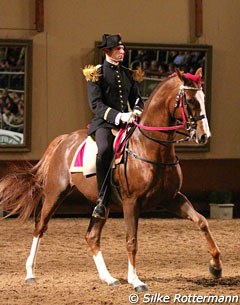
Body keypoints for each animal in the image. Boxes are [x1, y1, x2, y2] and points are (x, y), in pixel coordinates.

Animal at [0, 68, 222, 290]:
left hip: (102, 204)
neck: (150, 148)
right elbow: (131, 240)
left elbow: (202, 221)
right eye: (190, 100)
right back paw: (30, 273)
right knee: (40, 227)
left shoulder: (172, 198)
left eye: (203, 98)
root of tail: (65, 139)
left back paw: (108, 277)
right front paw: (135, 280)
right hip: (55, 193)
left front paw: (216, 266)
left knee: (91, 236)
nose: (204, 135)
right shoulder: (132, 202)